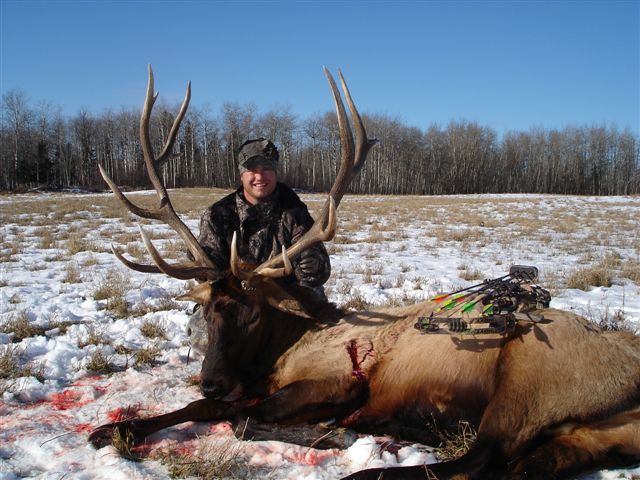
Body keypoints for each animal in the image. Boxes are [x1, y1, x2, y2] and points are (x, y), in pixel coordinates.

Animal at [90, 65, 640, 480]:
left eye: (251, 313)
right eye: (205, 311)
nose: (210, 380)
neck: (281, 351)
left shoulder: (339, 381)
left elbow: (245, 418)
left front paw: (330, 432)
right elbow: (200, 411)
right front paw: (109, 430)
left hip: (531, 376)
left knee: (477, 461)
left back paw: (373, 464)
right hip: (593, 434)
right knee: (527, 464)